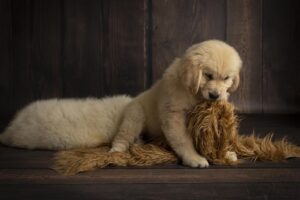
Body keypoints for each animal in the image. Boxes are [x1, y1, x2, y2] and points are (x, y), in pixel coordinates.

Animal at [111, 39, 243, 168]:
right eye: (208, 75)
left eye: (226, 78)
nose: (215, 96)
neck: (194, 93)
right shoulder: (174, 115)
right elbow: (183, 140)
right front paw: (194, 158)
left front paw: (225, 154)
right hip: (135, 116)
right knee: (123, 135)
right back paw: (116, 151)